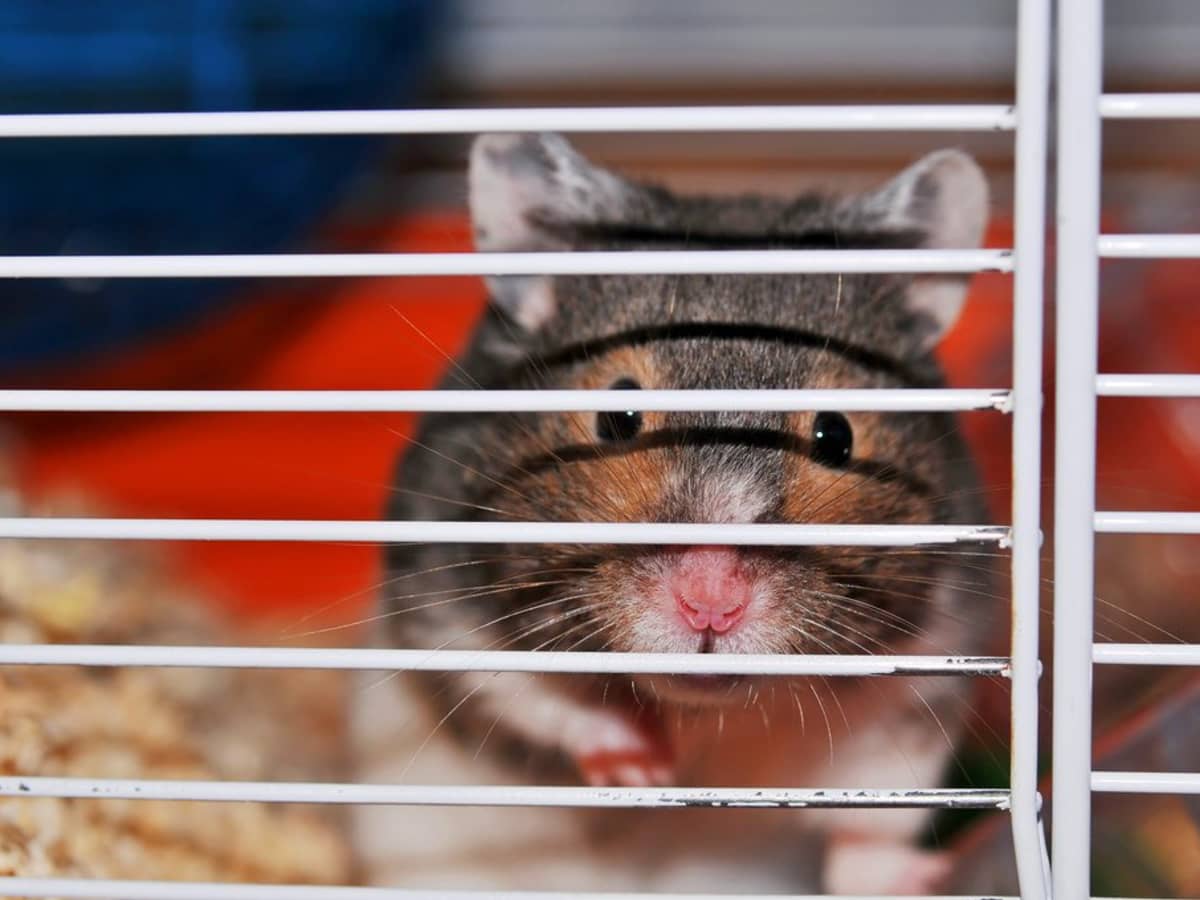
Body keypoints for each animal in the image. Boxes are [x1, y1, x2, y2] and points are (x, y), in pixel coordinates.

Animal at [352, 133, 995, 894]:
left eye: (835, 437)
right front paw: (644, 767)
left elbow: (872, 818)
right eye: (618, 416)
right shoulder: (440, 606)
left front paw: (920, 876)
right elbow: (535, 697)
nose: (710, 603)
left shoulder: (927, 676)